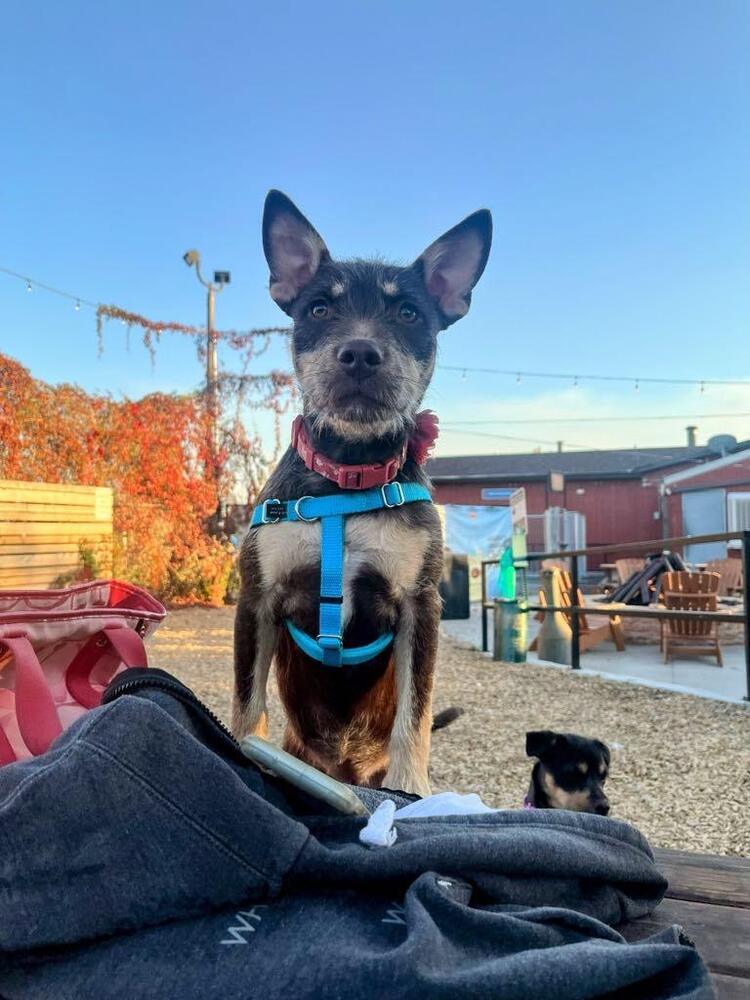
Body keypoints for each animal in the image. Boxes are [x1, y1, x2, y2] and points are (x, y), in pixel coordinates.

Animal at [235, 191, 494, 792]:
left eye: (409, 314)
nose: (359, 353)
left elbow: (415, 714)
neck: (347, 477)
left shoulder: (420, 605)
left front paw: (412, 789)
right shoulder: (257, 598)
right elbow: (248, 703)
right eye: (318, 310)